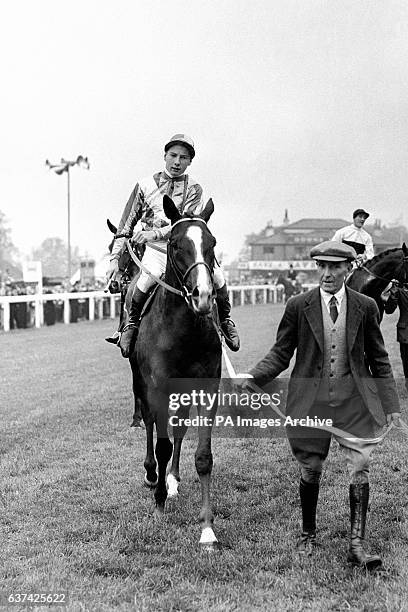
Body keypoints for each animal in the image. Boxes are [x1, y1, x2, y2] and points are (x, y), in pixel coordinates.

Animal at [130, 195, 222, 548]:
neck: (184, 331)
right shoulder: (157, 386)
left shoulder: (208, 386)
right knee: (149, 424)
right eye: (175, 243)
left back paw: (171, 480)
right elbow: (161, 444)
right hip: (141, 383)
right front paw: (157, 504)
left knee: (179, 428)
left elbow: (203, 455)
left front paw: (207, 528)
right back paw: (152, 474)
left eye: (212, 243)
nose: (203, 295)